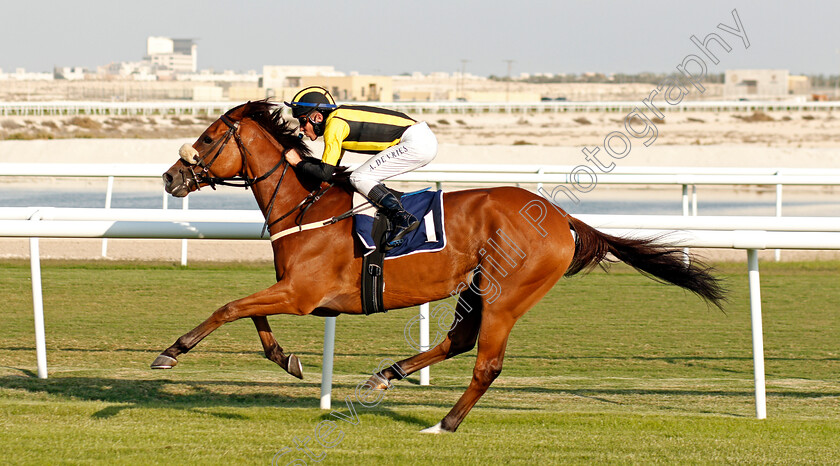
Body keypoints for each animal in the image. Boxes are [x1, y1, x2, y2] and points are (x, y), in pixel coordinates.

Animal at [161, 101, 724, 434]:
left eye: (207, 139)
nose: (169, 178)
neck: (306, 205)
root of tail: (562, 217)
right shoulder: (296, 293)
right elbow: (249, 313)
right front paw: (288, 360)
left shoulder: (302, 294)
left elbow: (230, 307)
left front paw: (172, 352)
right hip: (477, 287)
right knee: (458, 341)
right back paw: (386, 376)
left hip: (506, 295)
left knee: (486, 363)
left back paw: (445, 424)